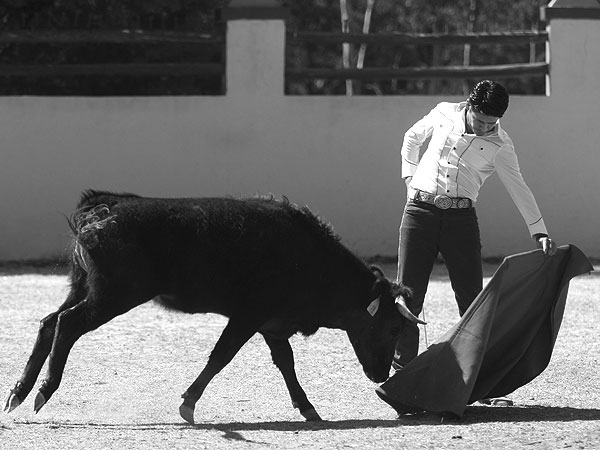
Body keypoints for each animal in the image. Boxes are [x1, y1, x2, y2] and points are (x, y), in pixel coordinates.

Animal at [3, 192, 412, 424]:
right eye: (393, 328)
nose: (380, 376)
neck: (309, 257)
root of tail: (102, 210)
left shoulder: (271, 324)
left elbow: (286, 363)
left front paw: (308, 408)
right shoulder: (247, 317)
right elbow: (221, 356)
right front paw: (188, 404)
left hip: (84, 289)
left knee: (48, 322)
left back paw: (19, 392)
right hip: (112, 296)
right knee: (67, 325)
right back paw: (43, 390)